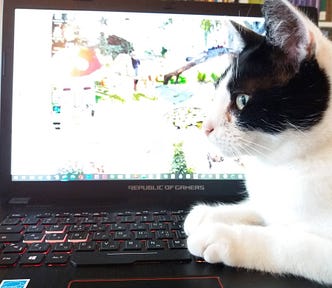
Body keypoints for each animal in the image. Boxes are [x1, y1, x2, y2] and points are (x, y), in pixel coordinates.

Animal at [184, 0, 332, 284]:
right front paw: (209, 214)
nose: (205, 127)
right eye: (216, 91)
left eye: (242, 100)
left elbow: (287, 241)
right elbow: (260, 208)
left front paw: (222, 236)